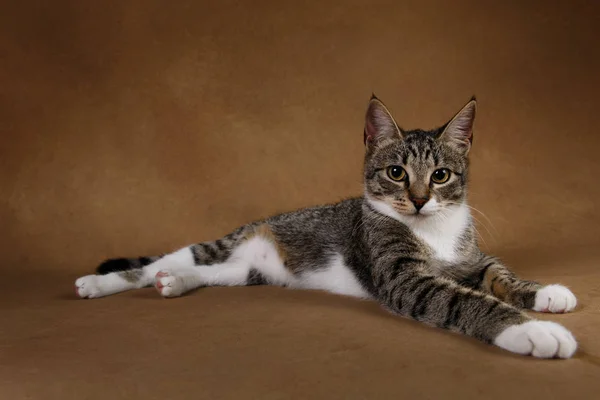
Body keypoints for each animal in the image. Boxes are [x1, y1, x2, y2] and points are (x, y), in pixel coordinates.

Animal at [75, 96, 576, 360]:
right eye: (396, 173)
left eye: (440, 176)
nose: (418, 199)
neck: (435, 231)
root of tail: (259, 225)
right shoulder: (402, 277)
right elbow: (460, 298)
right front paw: (531, 331)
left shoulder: (470, 254)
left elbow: (497, 272)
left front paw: (543, 293)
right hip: (221, 245)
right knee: (164, 261)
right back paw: (104, 283)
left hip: (247, 271)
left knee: (209, 273)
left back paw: (174, 283)